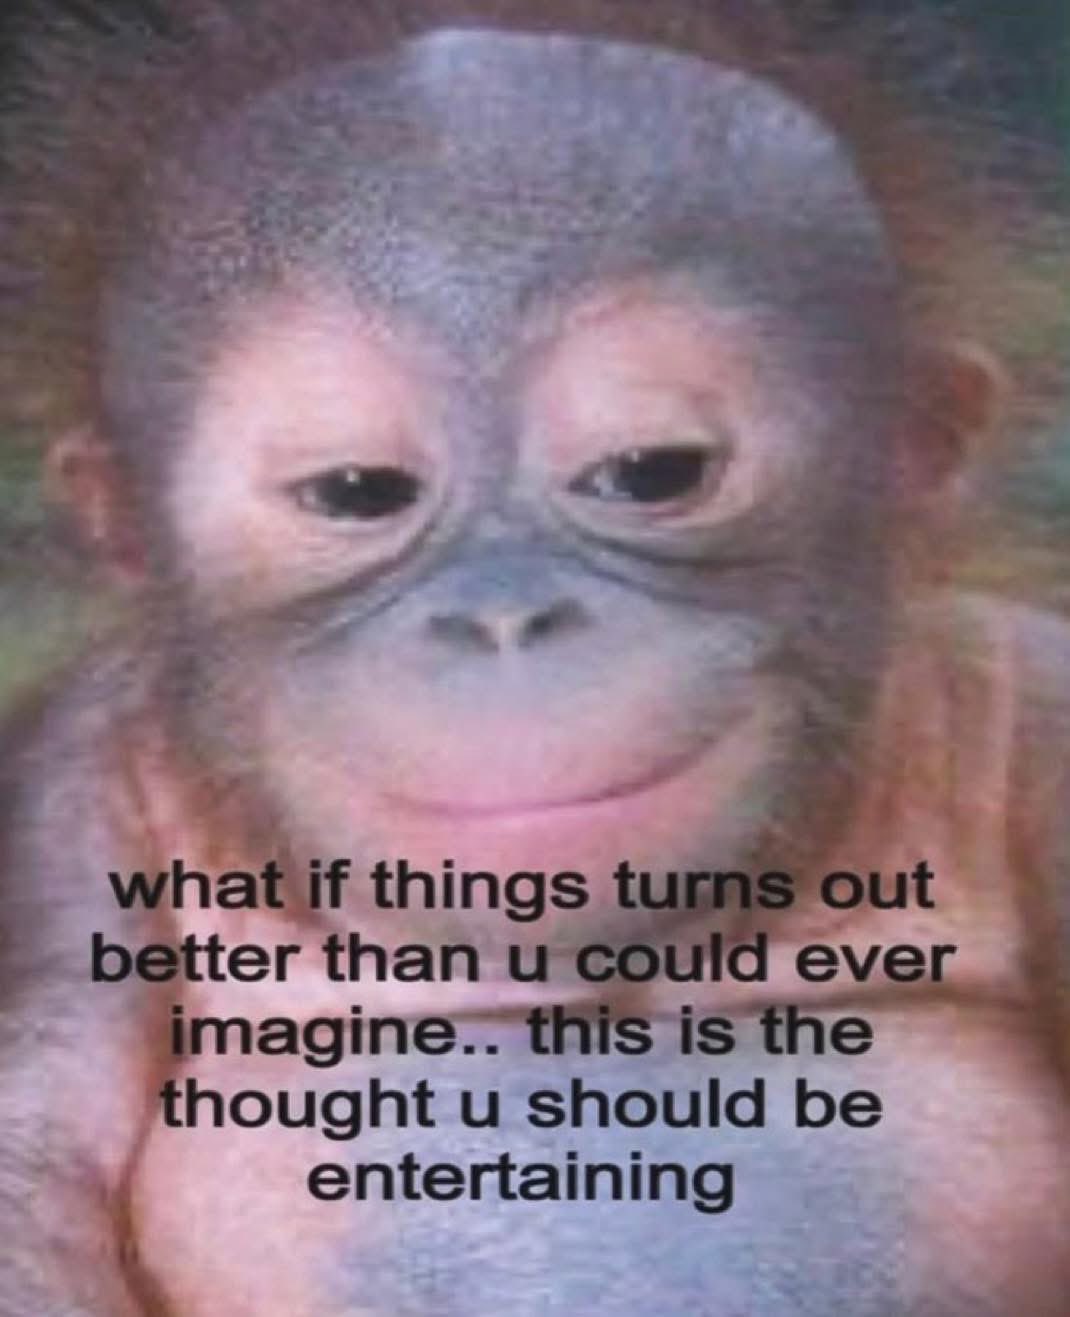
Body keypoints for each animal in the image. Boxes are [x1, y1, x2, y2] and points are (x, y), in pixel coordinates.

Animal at [0, 0, 1068, 1313]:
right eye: (354, 492)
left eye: (650, 473)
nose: (503, 619)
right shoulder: (68, 793)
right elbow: (38, 1151)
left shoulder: (1037, 700)